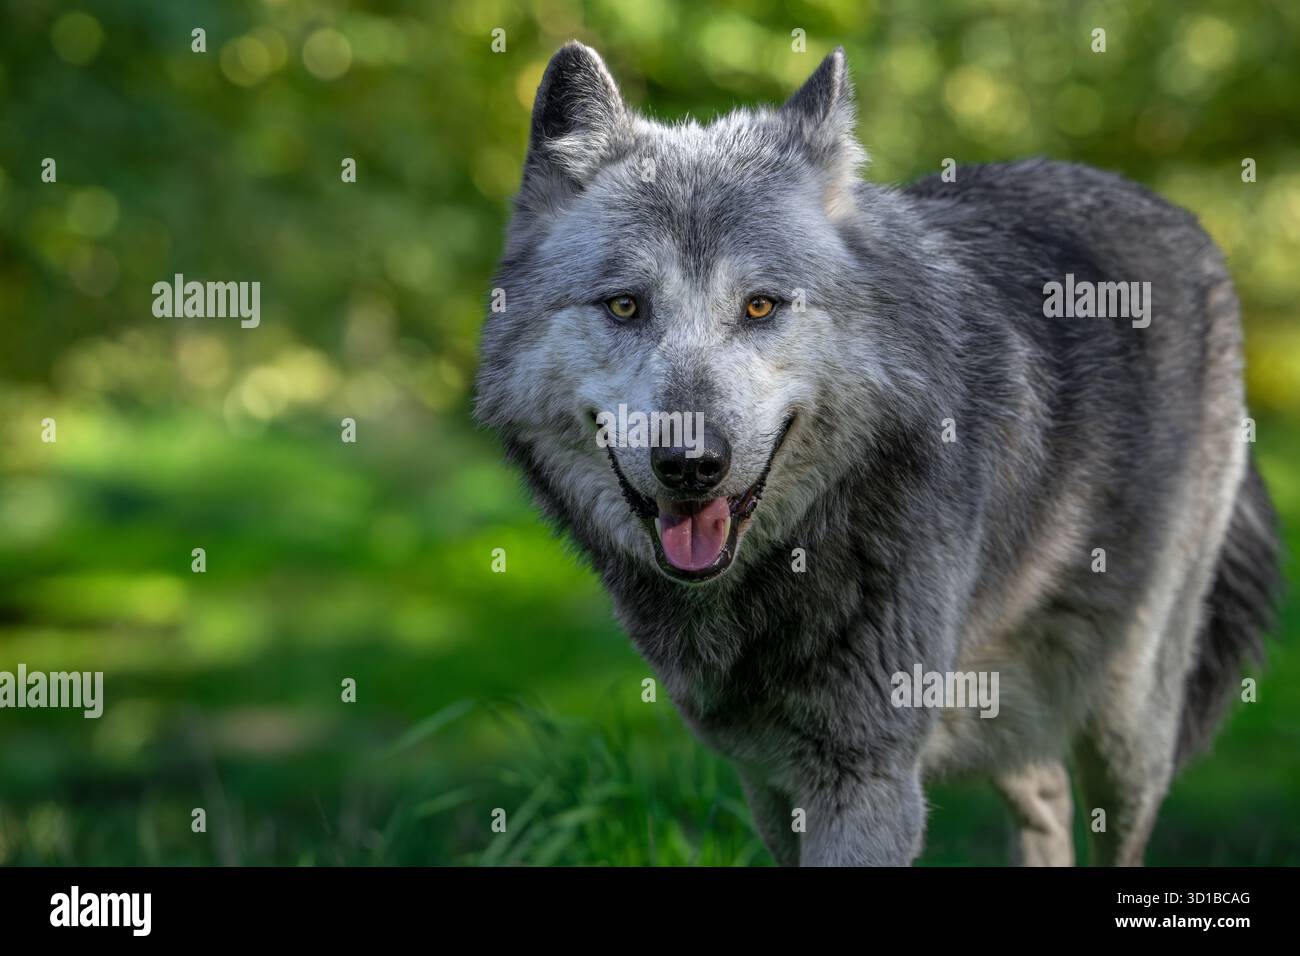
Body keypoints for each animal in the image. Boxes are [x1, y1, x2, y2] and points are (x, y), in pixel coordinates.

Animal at [475, 43, 1282, 866]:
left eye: (760, 305)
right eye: (625, 305)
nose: (692, 464)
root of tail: (1175, 213)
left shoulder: (868, 776)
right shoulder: (768, 777)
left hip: (1127, 719)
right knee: (1044, 789)